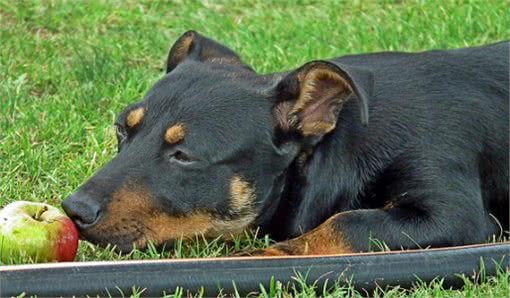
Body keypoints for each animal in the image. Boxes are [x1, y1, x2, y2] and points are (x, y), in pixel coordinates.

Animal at [61, 32, 508, 256]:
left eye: (183, 156)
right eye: (122, 131)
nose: (73, 210)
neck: (342, 143)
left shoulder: (455, 215)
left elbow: (345, 223)